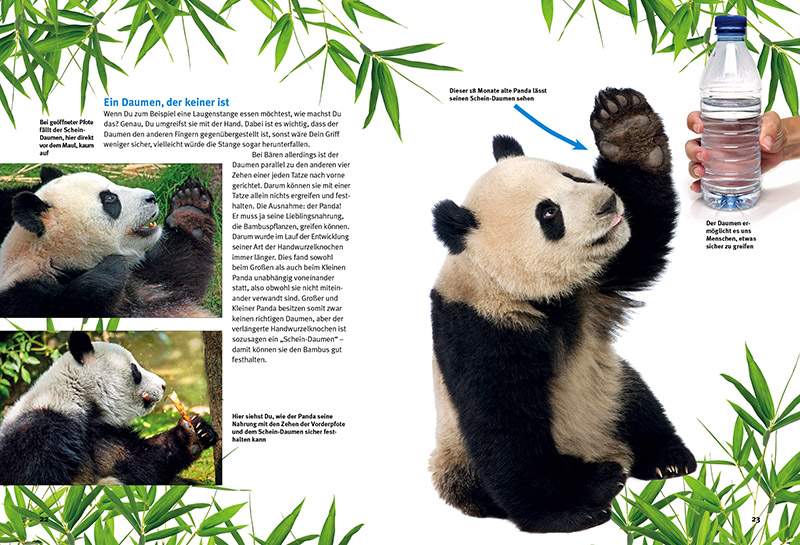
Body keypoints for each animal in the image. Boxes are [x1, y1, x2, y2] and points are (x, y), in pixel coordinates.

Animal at [0, 167, 216, 317]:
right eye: (110, 199)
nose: (151, 197)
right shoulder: (26, 296)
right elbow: (68, 305)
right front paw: (111, 269)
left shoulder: (147, 278)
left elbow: (184, 273)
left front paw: (189, 211)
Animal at [0, 331, 218, 484]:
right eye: (135, 370)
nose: (163, 385)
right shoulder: (41, 433)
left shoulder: (102, 433)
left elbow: (137, 461)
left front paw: (194, 431)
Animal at [428, 88, 696, 534]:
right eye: (549, 212)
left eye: (572, 177)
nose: (607, 202)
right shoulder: (479, 325)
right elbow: (503, 421)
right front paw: (567, 512)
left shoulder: (593, 286)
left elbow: (642, 239)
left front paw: (627, 127)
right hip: (460, 455)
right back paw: (602, 478)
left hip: (609, 390)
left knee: (639, 404)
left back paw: (666, 459)